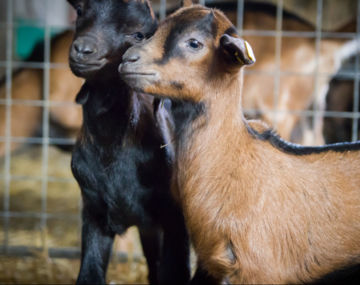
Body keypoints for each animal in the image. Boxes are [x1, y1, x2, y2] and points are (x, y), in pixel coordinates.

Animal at [68, 1, 191, 282]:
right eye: (80, 12)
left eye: (138, 34)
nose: (84, 49)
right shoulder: (94, 209)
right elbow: (89, 273)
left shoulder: (174, 218)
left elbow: (174, 273)